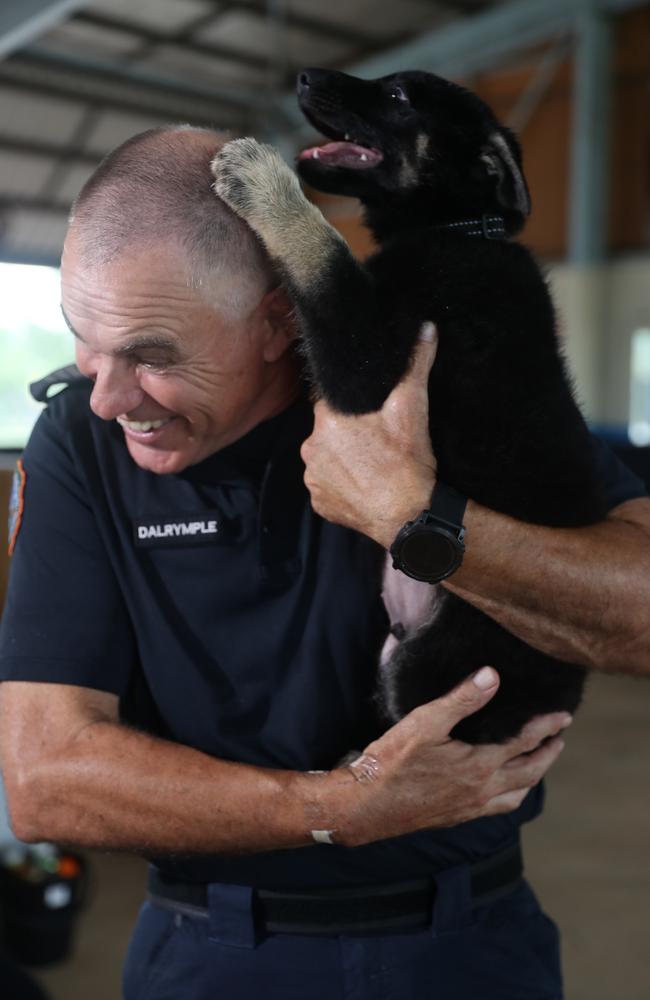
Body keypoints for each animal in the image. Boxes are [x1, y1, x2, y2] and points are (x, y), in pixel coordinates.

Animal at [213, 68, 604, 744]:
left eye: (398, 97)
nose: (304, 76)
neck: (455, 228)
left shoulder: (370, 365)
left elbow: (324, 252)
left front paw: (262, 179)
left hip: (442, 663)